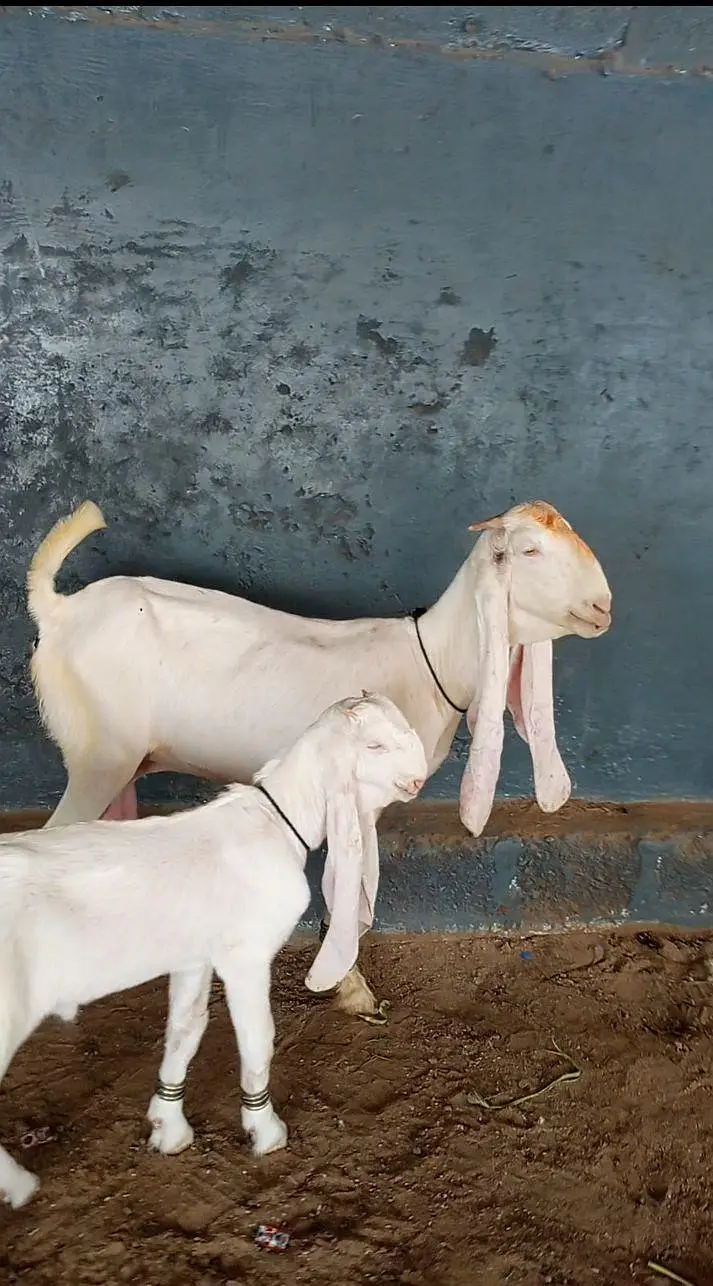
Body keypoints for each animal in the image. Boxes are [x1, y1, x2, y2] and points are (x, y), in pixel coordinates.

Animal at [0, 693, 427, 1209]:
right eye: (374, 745)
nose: (420, 777)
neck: (276, 822)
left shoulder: (194, 955)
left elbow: (186, 1030)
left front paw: (168, 1128)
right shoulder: (246, 954)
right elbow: (259, 1038)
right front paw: (266, 1131)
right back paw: (18, 1186)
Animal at [27, 499, 612, 1019]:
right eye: (530, 550)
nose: (603, 606)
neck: (432, 662)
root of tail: (58, 609)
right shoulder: (363, 795)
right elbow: (351, 886)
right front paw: (352, 990)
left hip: (123, 762)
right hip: (98, 755)